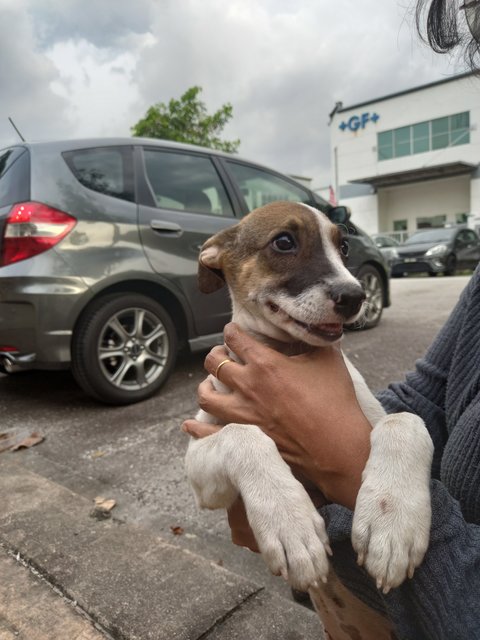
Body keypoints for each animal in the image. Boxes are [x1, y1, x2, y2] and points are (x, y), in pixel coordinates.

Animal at [186, 204, 434, 600]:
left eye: (344, 246)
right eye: (284, 242)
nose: (355, 296)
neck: (291, 353)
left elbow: (404, 419)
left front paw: (392, 520)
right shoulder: (200, 468)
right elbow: (244, 434)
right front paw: (291, 523)